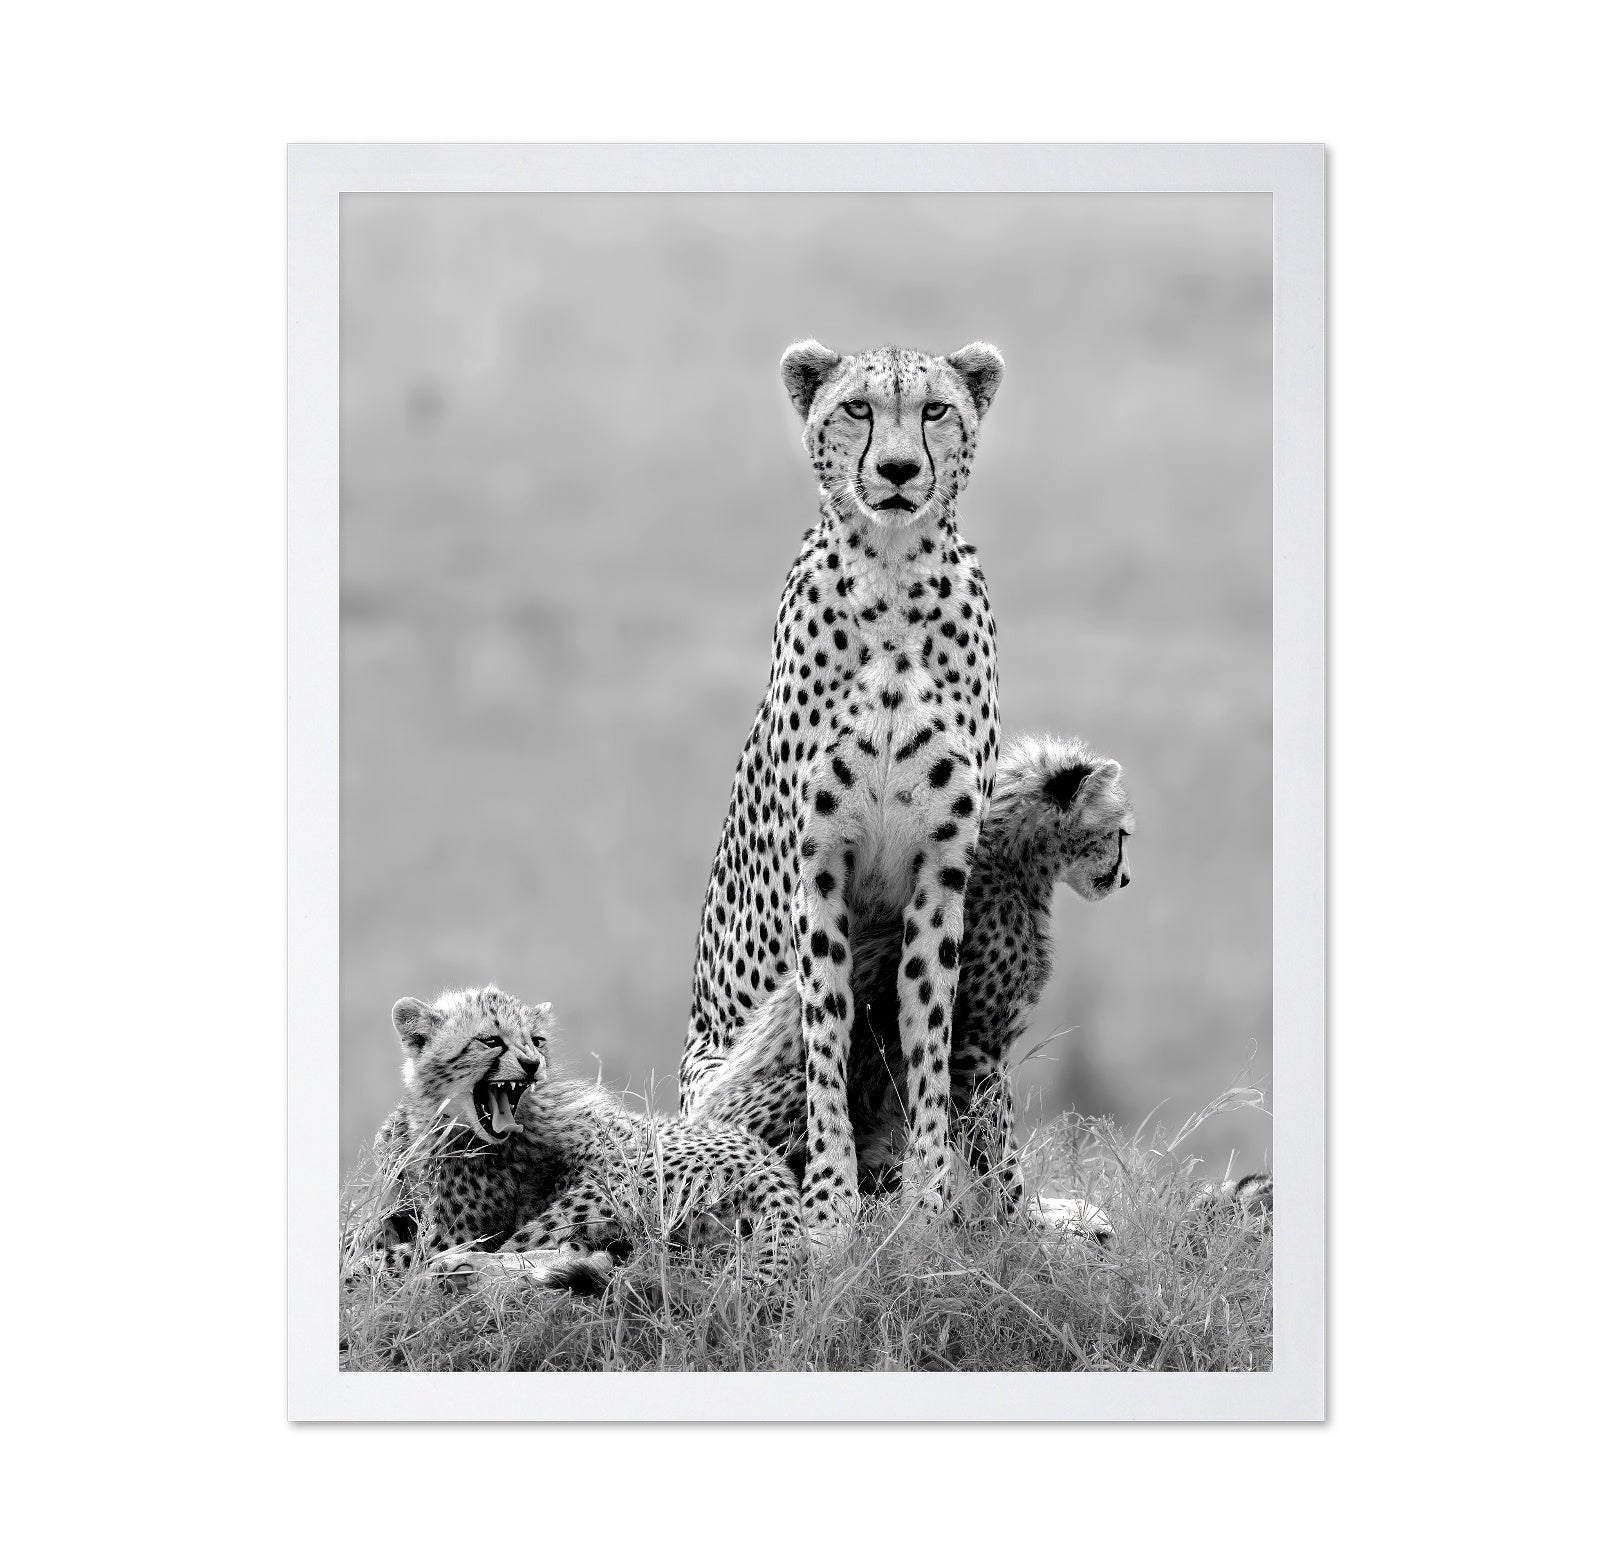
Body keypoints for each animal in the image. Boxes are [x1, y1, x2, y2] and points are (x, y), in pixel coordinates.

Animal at [343, 985, 802, 1293]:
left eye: (537, 1041)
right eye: (490, 1041)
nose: (532, 1064)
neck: (435, 1121)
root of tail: (769, 1162)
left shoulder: (452, 1233)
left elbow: (387, 1257)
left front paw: (358, 1271)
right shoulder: (396, 1210)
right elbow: (361, 1235)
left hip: (599, 1188)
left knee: (551, 1248)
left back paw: (464, 1270)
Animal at [681, 339, 1007, 1232]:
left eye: (935, 409)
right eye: (857, 407)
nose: (896, 470)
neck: (893, 581)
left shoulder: (941, 871)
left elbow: (927, 1031)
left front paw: (927, 1202)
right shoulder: (819, 867)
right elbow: (824, 1037)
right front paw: (831, 1205)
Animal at [690, 732, 1135, 1235]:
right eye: (1121, 834)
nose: (1125, 878)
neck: (1014, 863)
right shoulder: (974, 1053)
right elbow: (997, 1153)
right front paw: (1023, 1227)